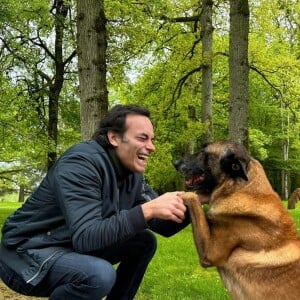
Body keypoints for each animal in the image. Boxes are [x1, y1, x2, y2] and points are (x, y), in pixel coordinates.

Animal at [173, 141, 300, 300]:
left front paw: (177, 196)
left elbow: (192, 196)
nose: (175, 163)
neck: (239, 189)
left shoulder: (210, 252)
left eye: (203, 153)